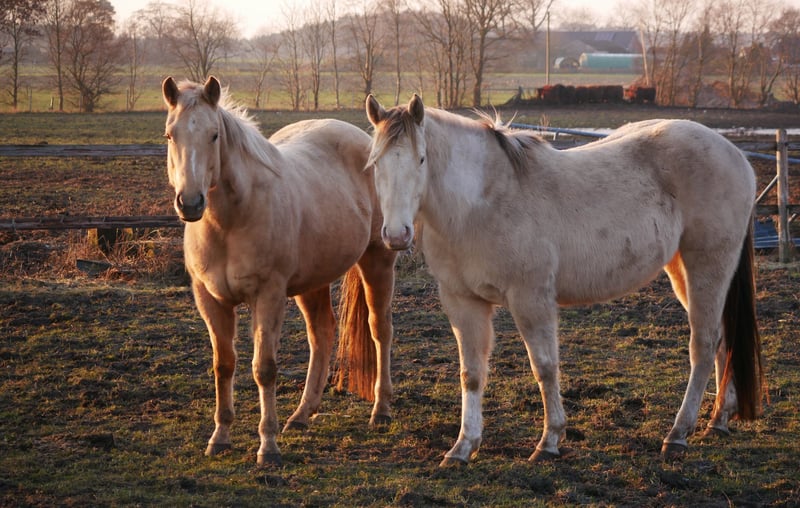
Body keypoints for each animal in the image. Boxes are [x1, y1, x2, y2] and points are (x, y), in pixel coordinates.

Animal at [161, 76, 397, 466]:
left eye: (214, 135)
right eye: (170, 134)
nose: (190, 203)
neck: (229, 221)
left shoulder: (268, 295)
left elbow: (264, 368)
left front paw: (267, 446)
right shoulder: (210, 299)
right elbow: (224, 365)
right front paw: (219, 437)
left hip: (377, 260)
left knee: (380, 330)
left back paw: (381, 411)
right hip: (312, 281)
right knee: (322, 333)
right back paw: (301, 415)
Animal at [365, 94, 764, 466]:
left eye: (421, 159)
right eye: (375, 163)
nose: (397, 235)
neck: (480, 204)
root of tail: (735, 155)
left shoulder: (531, 298)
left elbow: (544, 367)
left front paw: (550, 441)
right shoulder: (463, 302)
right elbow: (472, 373)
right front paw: (463, 447)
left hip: (707, 266)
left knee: (703, 344)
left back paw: (678, 434)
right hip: (682, 271)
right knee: (721, 339)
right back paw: (718, 419)